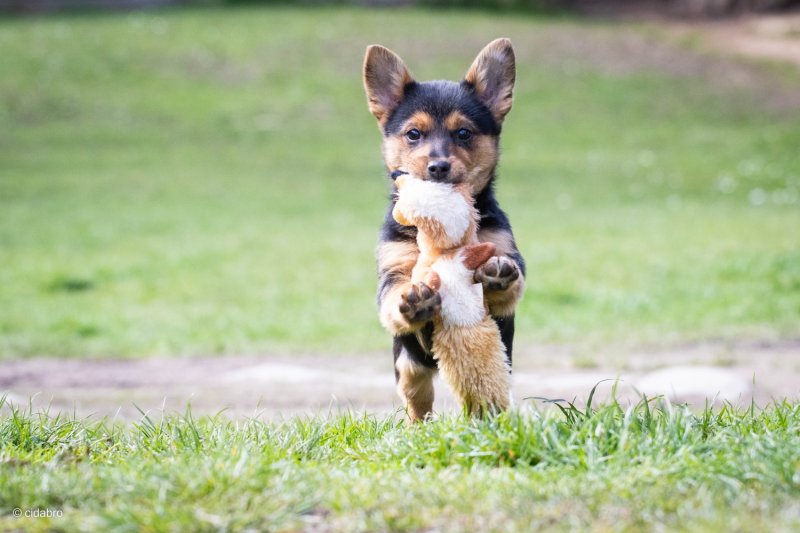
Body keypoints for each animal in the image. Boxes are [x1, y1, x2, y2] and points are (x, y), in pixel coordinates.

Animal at [362, 37, 524, 422]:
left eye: (463, 133)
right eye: (413, 134)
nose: (437, 166)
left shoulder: (508, 253)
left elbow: (511, 282)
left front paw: (498, 274)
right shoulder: (393, 269)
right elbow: (394, 295)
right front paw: (414, 299)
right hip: (409, 366)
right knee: (418, 401)